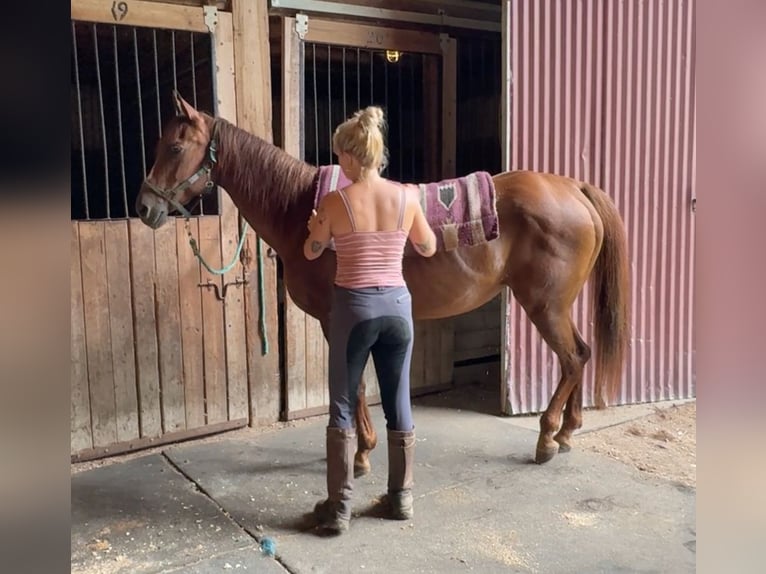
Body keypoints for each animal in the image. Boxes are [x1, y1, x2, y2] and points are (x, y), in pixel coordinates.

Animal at [136, 93, 632, 468]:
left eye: (175, 148)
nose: (144, 207)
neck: (304, 212)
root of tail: (572, 188)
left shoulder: (338, 318)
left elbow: (353, 382)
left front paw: (360, 453)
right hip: (558, 306)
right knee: (581, 354)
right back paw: (567, 432)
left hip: (544, 306)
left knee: (572, 359)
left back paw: (547, 437)